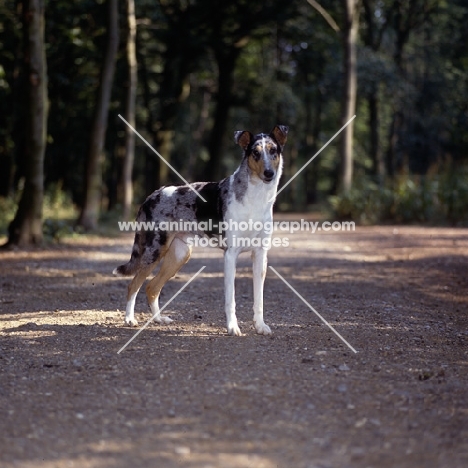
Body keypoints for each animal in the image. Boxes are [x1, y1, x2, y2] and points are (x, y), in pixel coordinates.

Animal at [114, 124, 288, 336]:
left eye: (273, 151)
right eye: (255, 153)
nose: (269, 173)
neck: (256, 197)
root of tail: (151, 196)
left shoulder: (260, 255)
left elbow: (259, 299)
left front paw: (260, 326)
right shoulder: (231, 255)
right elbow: (231, 299)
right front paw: (233, 327)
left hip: (179, 255)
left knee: (151, 287)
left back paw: (158, 319)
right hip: (154, 251)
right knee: (134, 285)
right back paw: (129, 319)